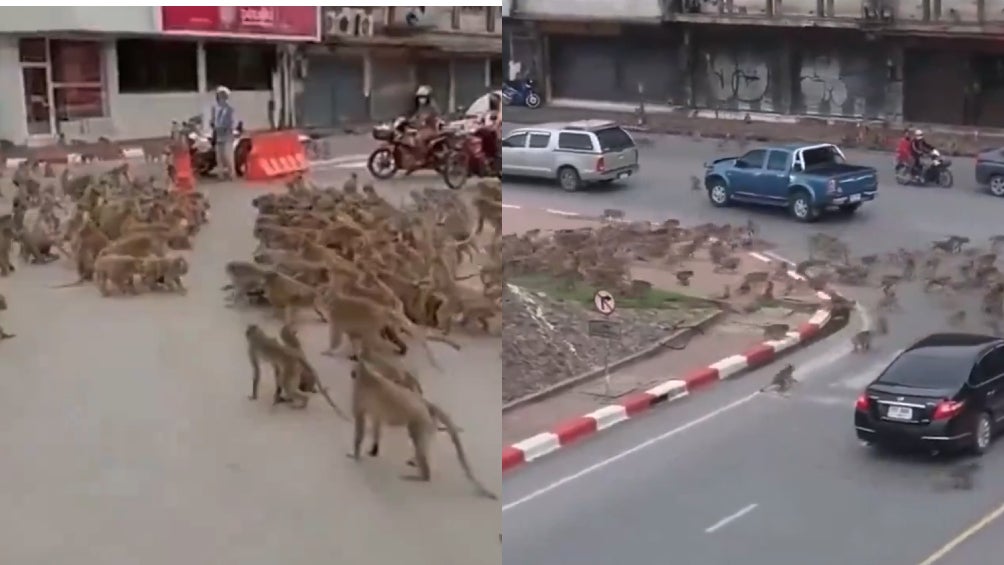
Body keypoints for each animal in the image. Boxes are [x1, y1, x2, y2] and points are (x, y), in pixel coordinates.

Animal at [349, 361, 497, 501]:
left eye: (354, 372)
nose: (352, 373)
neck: (367, 374)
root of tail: (426, 404)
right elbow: (376, 422)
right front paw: (372, 449)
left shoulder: (359, 397)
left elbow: (360, 424)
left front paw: (355, 454)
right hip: (428, 423)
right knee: (422, 443)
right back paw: (416, 464)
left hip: (421, 422)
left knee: (418, 443)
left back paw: (423, 475)